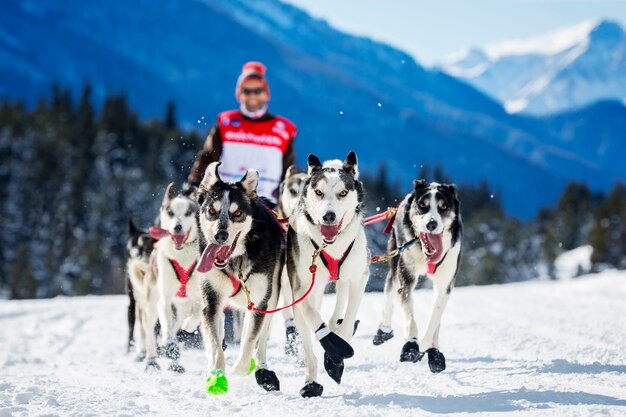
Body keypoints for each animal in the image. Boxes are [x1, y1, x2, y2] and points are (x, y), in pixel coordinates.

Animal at [286, 150, 368, 396]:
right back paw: (310, 381)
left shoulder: (359, 278)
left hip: (343, 280)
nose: (328, 216)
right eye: (318, 192)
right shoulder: (301, 288)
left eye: (343, 193)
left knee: (339, 305)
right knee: (308, 340)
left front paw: (335, 355)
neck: (330, 245)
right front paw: (332, 345)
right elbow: (313, 318)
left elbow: (348, 320)